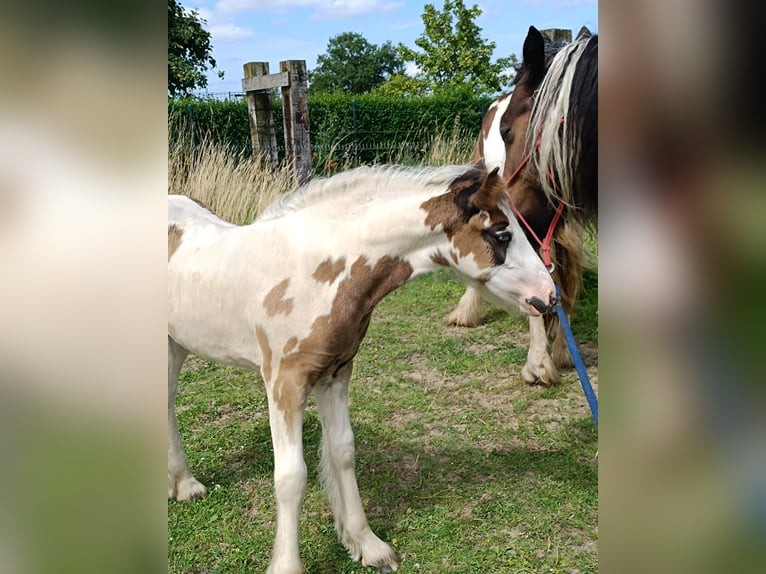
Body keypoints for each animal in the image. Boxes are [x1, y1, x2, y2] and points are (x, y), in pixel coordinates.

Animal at [168, 164, 556, 572]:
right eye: (502, 234)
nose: (548, 296)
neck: (316, 270)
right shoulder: (284, 382)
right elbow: (291, 477)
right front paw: (288, 564)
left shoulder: (335, 373)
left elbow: (343, 451)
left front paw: (367, 544)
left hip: (177, 344)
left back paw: (184, 484)